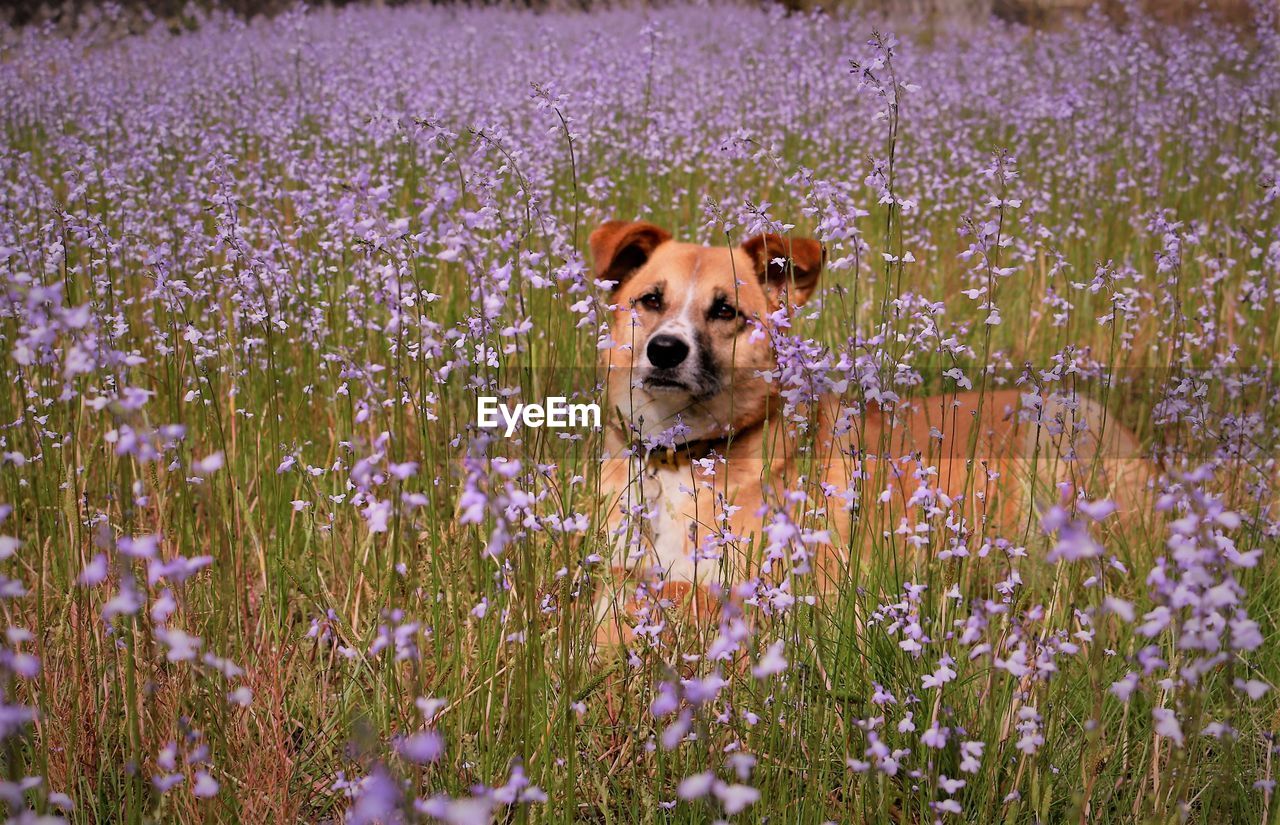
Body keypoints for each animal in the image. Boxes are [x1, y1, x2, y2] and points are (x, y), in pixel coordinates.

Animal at [588, 222, 1152, 647]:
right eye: (650, 300)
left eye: (725, 310)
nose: (665, 351)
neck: (679, 455)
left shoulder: (794, 595)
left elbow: (665, 597)